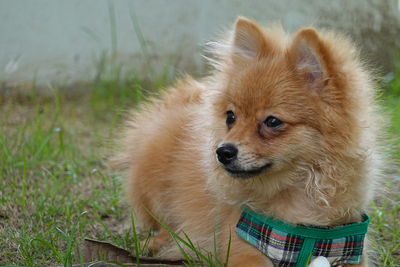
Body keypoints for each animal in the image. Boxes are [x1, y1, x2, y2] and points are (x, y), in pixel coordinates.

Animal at [114, 17, 382, 267]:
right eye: (231, 117)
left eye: (272, 121)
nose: (222, 151)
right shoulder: (243, 246)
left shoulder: (349, 248)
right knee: (160, 224)